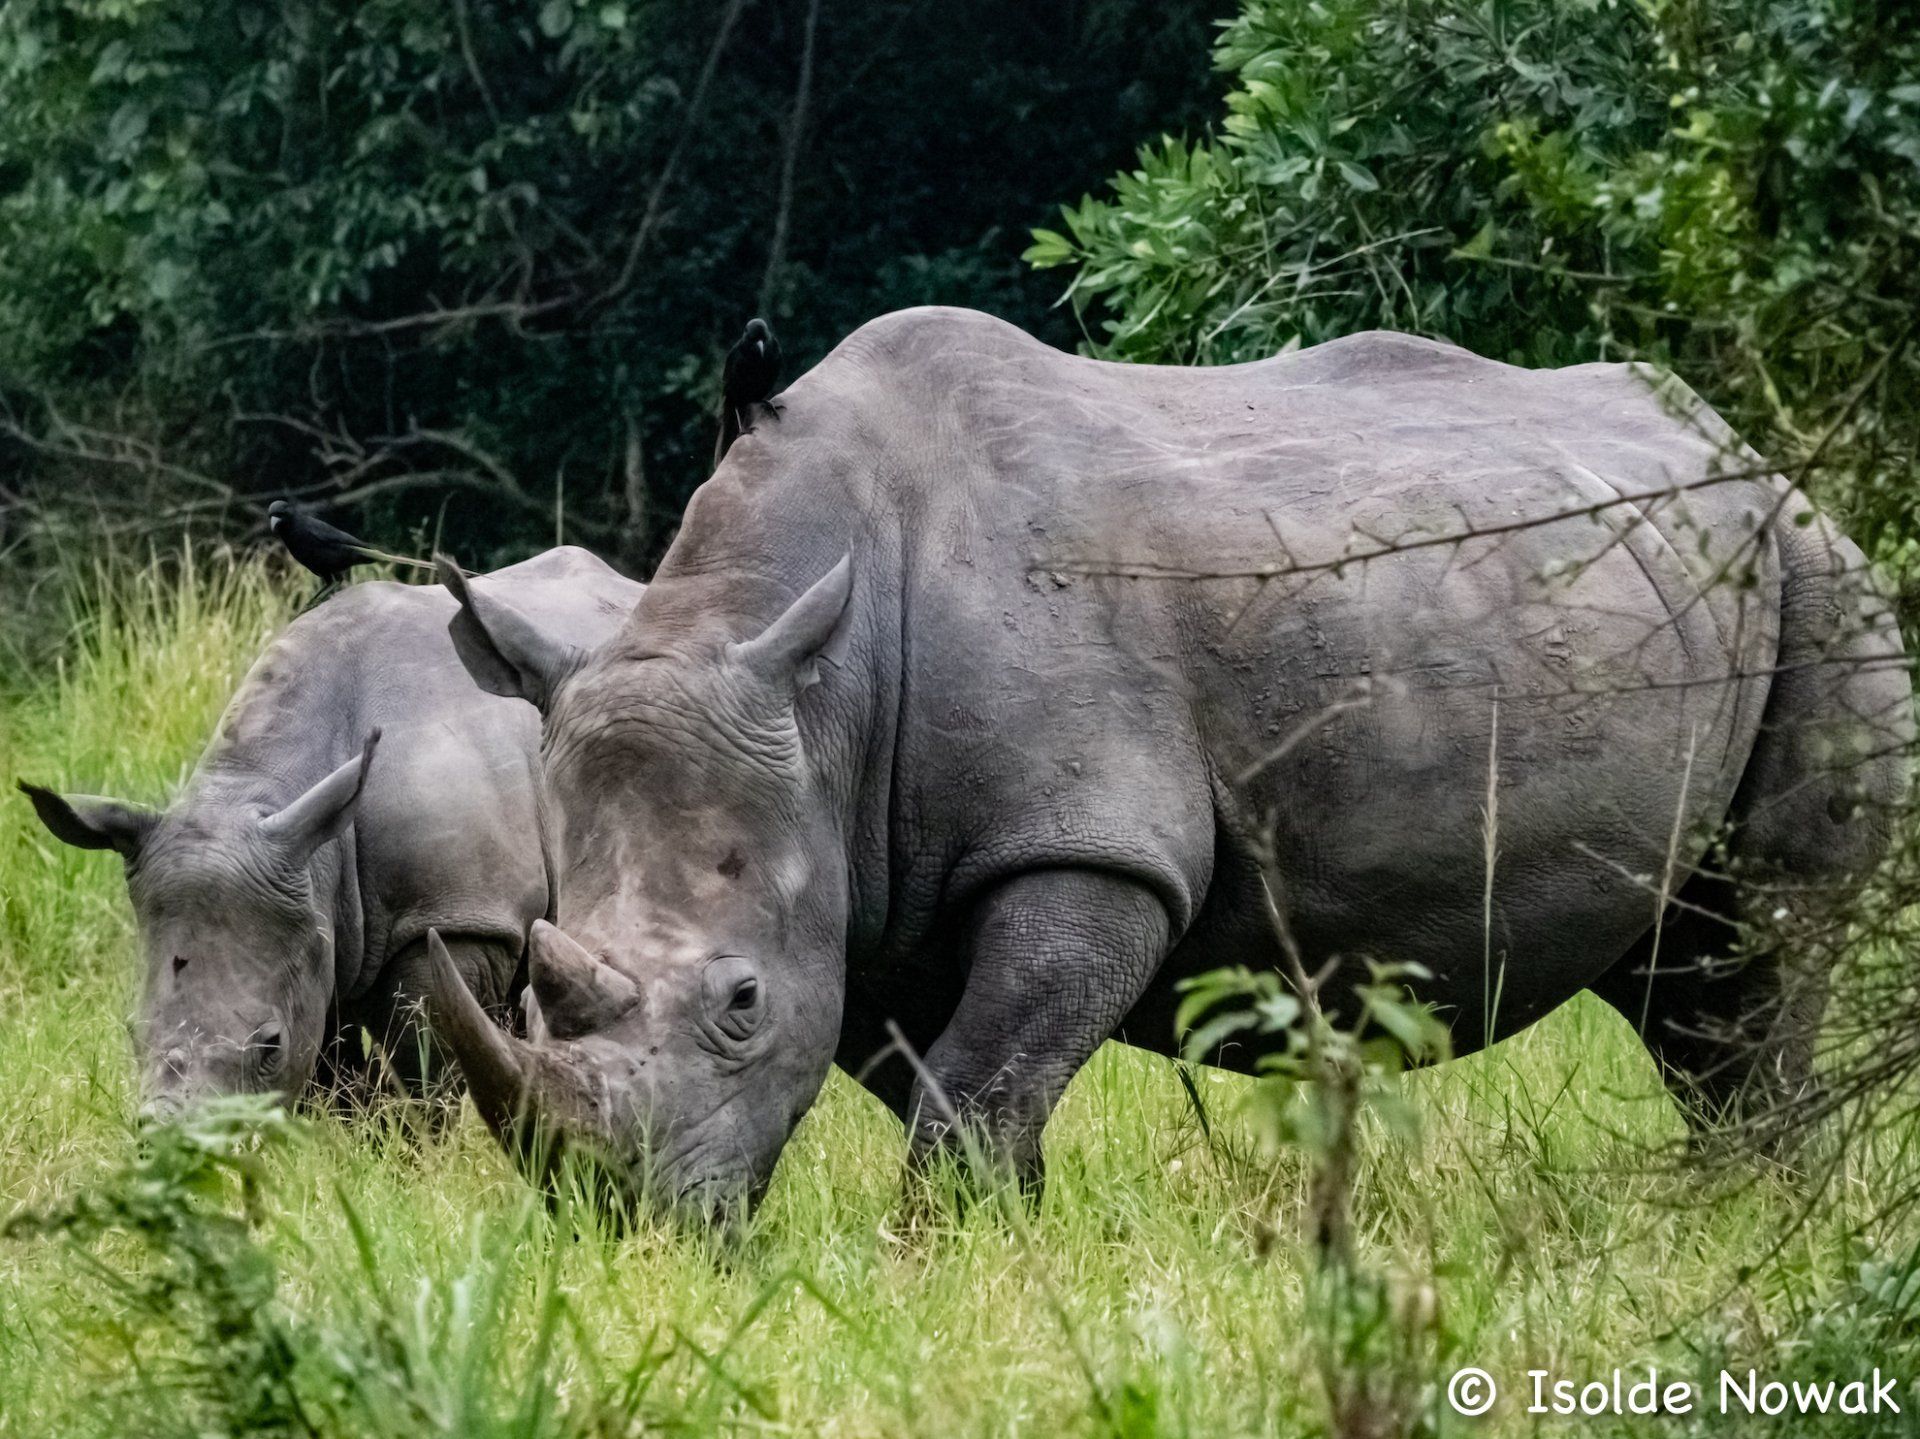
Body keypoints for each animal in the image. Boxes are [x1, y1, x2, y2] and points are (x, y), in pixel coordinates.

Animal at [20, 546, 640, 1117]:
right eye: (131, 1032)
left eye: (269, 1045)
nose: (171, 1137)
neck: (259, 787)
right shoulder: (315, 906)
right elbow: (329, 1074)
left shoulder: (456, 913)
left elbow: (428, 1065)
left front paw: (421, 1153)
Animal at [431, 308, 1911, 1223]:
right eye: (535, 987)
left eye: (738, 1003)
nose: (621, 1217)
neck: (817, 679)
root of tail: (1754, 455)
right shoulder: (861, 884)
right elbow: (960, 1082)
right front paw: (1004, 1247)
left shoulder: (1087, 841)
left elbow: (979, 1079)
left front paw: (948, 1261)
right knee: (1689, 982)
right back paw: (1726, 1204)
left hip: (1815, 570)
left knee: (1765, 948)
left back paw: (1751, 1210)